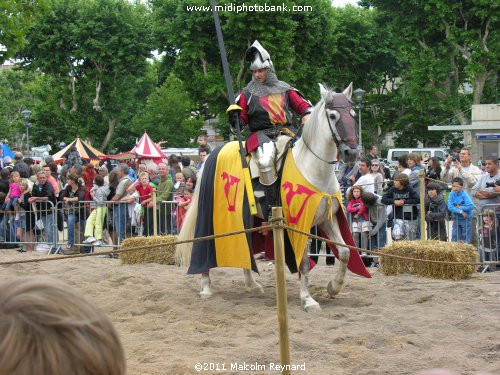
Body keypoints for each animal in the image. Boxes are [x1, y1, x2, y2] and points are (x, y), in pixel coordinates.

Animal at [178, 83, 366, 312]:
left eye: (352, 113)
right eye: (332, 116)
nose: (351, 152)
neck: (311, 167)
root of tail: (211, 154)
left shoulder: (326, 219)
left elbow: (345, 252)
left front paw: (333, 287)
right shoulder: (298, 224)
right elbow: (304, 263)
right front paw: (308, 299)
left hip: (246, 217)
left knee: (245, 244)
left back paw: (252, 284)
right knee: (206, 241)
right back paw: (206, 286)